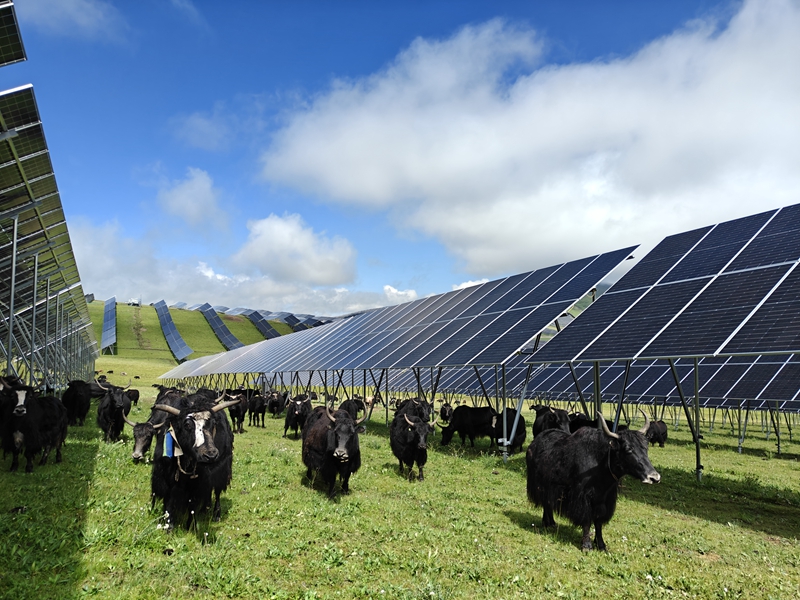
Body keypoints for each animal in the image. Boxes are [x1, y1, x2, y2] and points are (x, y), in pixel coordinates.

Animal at [150, 393, 240, 529]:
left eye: (213, 424)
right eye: (187, 425)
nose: (211, 455)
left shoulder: (198, 481)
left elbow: (193, 501)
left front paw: (190, 525)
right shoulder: (167, 474)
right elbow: (169, 498)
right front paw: (169, 525)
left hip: (222, 470)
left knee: (217, 491)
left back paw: (215, 514)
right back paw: (204, 509)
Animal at [526, 412, 660, 551]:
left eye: (645, 447)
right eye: (628, 449)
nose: (654, 477)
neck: (601, 464)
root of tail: (534, 443)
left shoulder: (604, 500)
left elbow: (598, 522)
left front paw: (601, 545)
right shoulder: (583, 499)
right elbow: (587, 520)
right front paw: (587, 545)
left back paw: (552, 523)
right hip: (540, 485)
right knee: (545, 502)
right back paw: (546, 523)